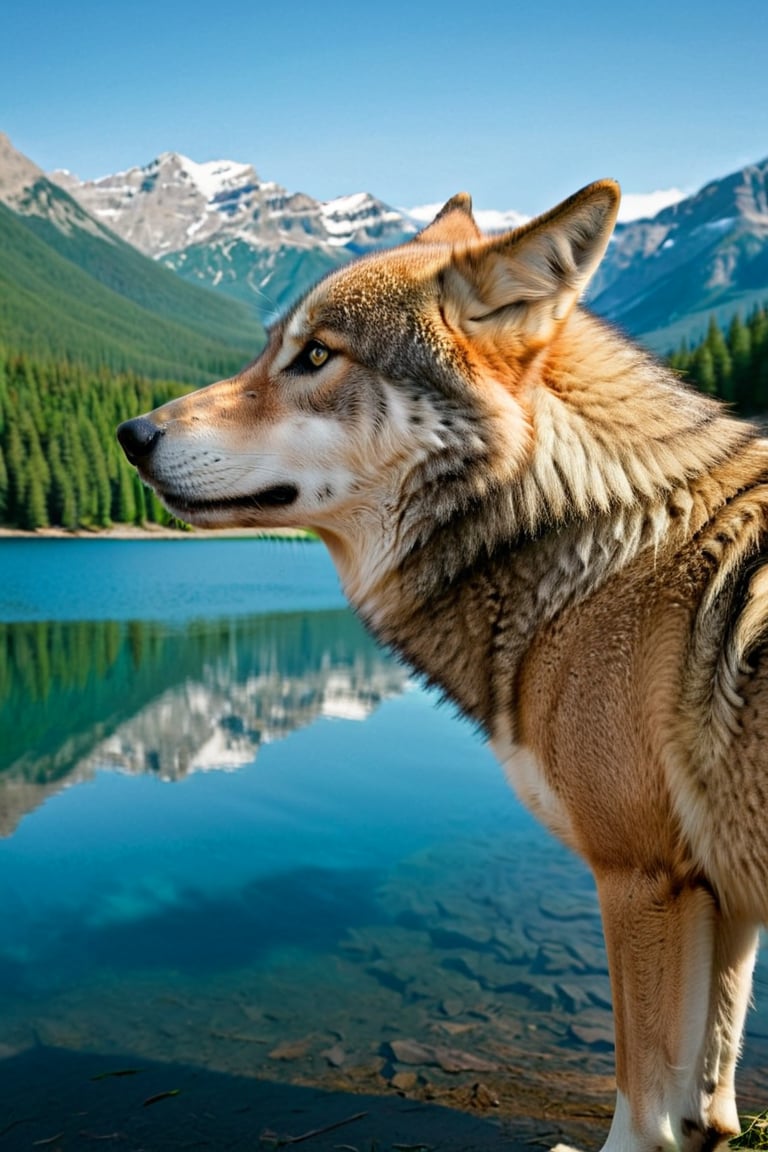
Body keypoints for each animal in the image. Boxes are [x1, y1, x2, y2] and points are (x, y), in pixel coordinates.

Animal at [117, 179, 768, 1152]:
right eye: (271, 347)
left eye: (316, 355)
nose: (131, 432)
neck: (585, 534)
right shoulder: (719, 896)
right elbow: (712, 1105)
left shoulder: (642, 879)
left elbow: (643, 1106)